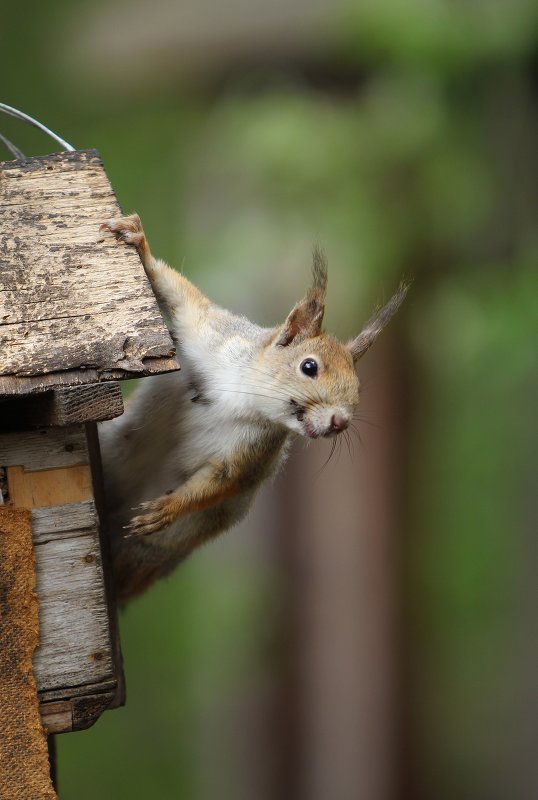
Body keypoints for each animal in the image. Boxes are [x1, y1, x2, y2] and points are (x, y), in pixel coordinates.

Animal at [98, 212, 406, 600]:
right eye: (309, 367)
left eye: (358, 387)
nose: (340, 422)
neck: (242, 395)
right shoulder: (210, 334)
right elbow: (184, 301)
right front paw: (136, 240)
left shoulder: (254, 449)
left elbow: (223, 479)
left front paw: (166, 508)